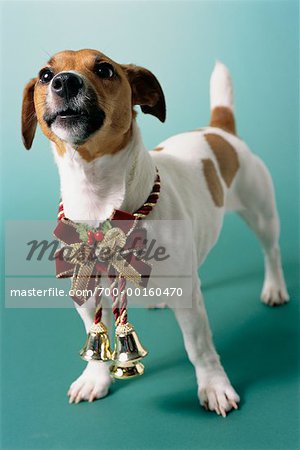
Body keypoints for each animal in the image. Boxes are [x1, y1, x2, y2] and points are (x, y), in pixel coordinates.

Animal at [21, 48, 288, 414]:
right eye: (45, 75)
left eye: (105, 70)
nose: (64, 82)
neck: (98, 201)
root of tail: (219, 130)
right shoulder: (86, 295)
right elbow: (95, 336)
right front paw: (95, 378)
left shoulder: (190, 302)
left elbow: (200, 349)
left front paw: (214, 386)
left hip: (261, 214)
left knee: (270, 251)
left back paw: (274, 287)